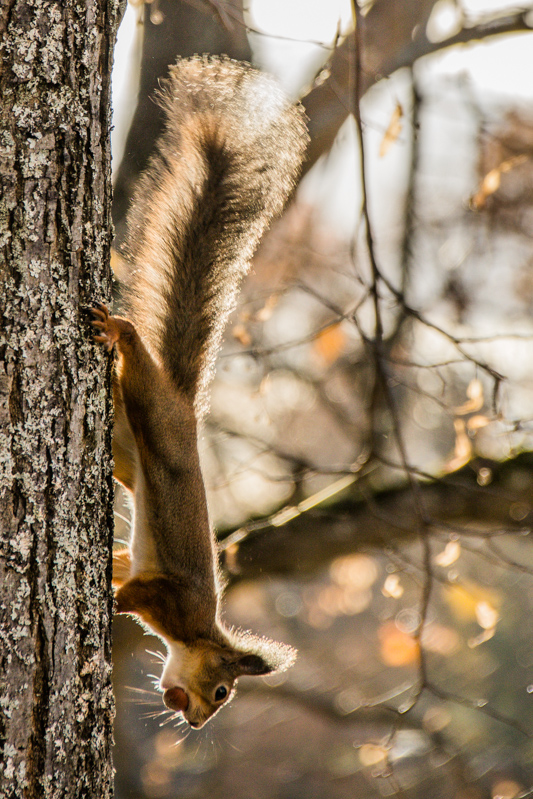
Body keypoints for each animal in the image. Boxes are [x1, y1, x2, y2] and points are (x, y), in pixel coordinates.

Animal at [91, 56, 308, 732]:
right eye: (220, 692)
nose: (196, 724)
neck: (193, 633)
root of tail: (185, 404)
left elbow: (127, 565)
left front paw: (111, 569)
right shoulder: (173, 596)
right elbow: (139, 593)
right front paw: (116, 597)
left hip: (129, 450)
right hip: (154, 412)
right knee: (136, 361)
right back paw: (119, 331)